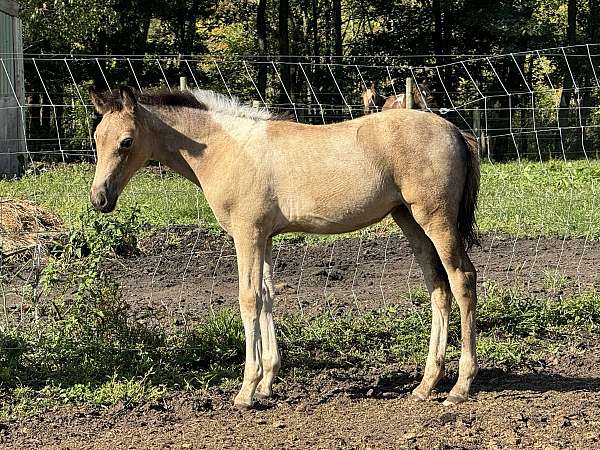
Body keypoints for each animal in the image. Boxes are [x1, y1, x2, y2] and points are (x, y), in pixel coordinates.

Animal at [89, 86, 480, 410]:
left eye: (126, 142)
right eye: (96, 138)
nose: (99, 199)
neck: (226, 148)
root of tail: (455, 131)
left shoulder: (247, 234)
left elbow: (248, 299)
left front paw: (246, 391)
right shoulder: (265, 237)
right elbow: (267, 296)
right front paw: (266, 384)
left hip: (435, 219)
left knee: (462, 279)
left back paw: (460, 387)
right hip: (408, 219)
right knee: (437, 286)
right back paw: (426, 385)